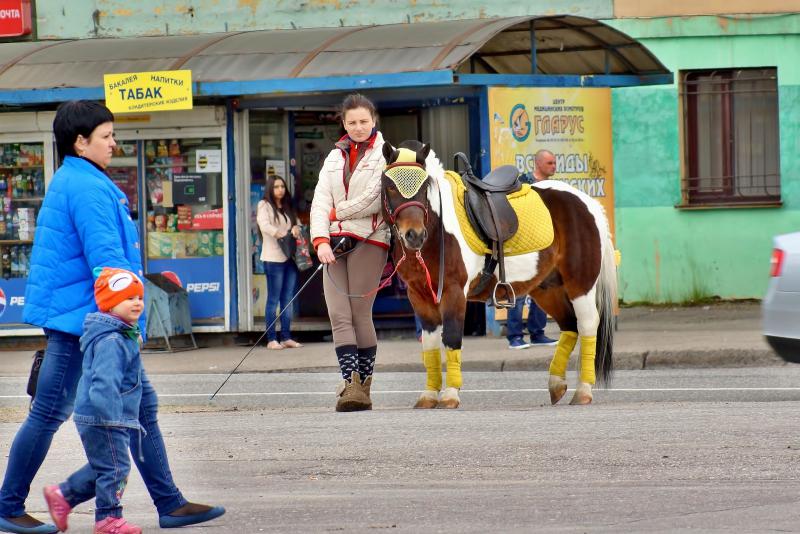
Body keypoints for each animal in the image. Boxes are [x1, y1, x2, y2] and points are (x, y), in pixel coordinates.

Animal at [382, 141, 620, 410]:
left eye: (424, 188)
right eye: (389, 186)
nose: (414, 235)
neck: (436, 230)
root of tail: (587, 202)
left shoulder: (454, 292)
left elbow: (451, 337)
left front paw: (451, 394)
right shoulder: (419, 296)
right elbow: (430, 345)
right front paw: (429, 395)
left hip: (580, 284)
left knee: (588, 324)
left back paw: (583, 390)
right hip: (547, 288)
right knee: (570, 325)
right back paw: (557, 384)